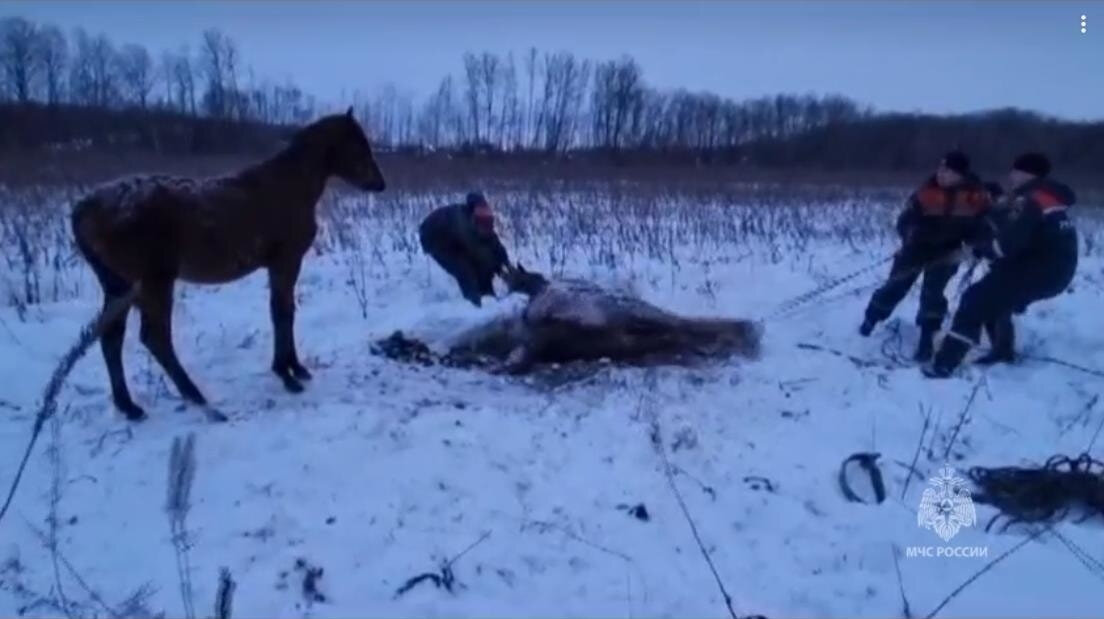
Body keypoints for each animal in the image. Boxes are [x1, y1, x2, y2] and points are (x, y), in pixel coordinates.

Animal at [71, 108, 386, 421]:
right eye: (358, 145)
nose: (380, 183)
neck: (289, 187)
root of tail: (84, 208)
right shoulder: (286, 260)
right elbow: (282, 313)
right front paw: (288, 374)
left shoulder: (279, 264)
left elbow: (282, 312)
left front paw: (293, 368)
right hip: (154, 282)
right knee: (155, 338)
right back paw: (197, 398)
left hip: (117, 284)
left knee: (112, 337)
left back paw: (129, 406)